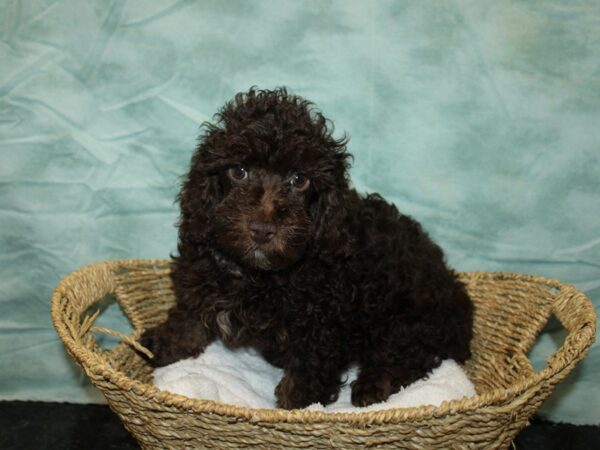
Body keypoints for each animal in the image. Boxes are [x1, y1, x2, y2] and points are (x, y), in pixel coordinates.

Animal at [142, 87, 474, 408]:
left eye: (299, 180)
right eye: (238, 171)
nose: (262, 230)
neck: (256, 274)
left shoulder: (320, 326)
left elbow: (307, 371)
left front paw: (295, 404)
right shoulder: (203, 268)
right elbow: (189, 316)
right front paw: (163, 344)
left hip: (410, 316)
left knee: (410, 354)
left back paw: (372, 385)